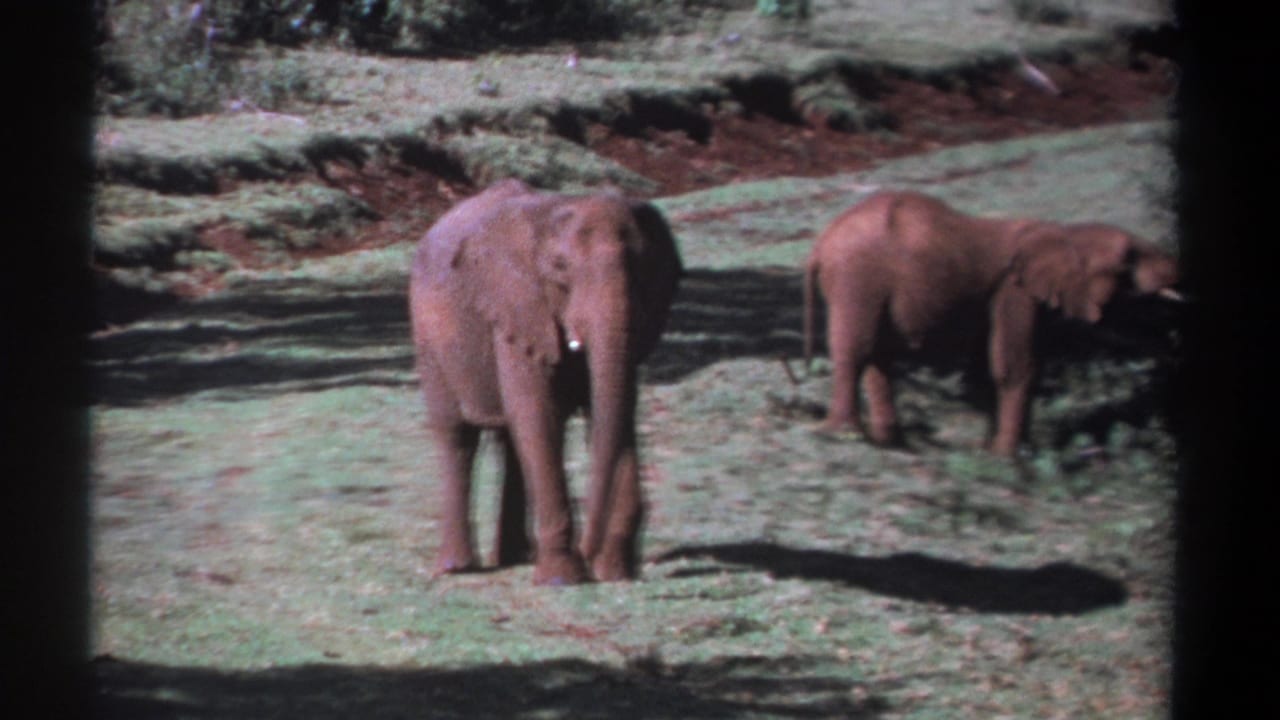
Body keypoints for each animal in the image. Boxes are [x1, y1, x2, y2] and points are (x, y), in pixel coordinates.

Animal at [409, 179, 683, 585]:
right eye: (560, 269)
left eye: (642, 266)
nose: (589, 551)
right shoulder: (516, 308)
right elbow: (538, 414)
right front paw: (562, 579)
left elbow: (615, 414)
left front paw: (614, 572)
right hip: (429, 340)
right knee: (457, 437)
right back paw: (457, 568)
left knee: (509, 440)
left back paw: (515, 557)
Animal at [803, 189, 1180, 456]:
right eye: (1128, 261)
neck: (1062, 233)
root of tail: (821, 243)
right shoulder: (1014, 291)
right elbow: (1016, 366)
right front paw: (1009, 457)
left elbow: (989, 367)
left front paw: (993, 451)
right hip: (858, 274)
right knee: (857, 349)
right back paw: (843, 434)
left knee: (879, 354)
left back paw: (891, 442)